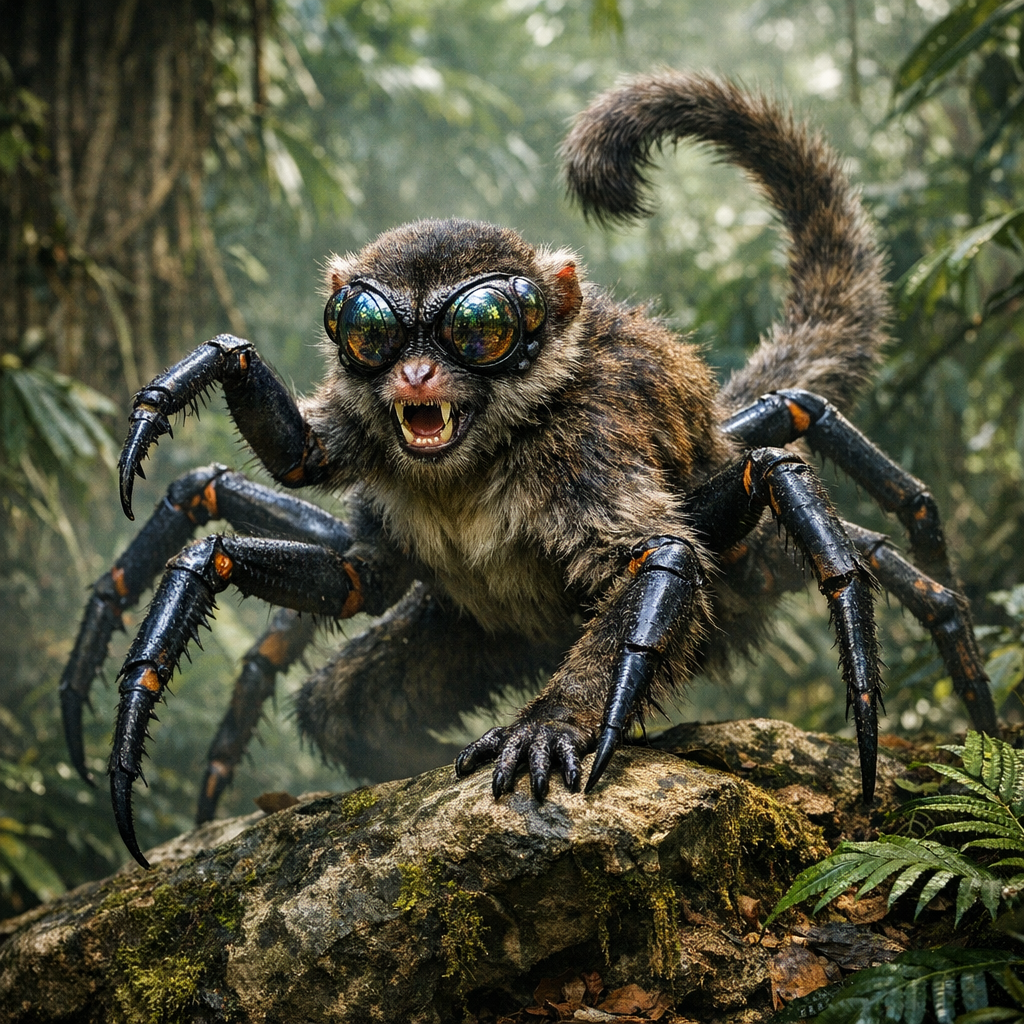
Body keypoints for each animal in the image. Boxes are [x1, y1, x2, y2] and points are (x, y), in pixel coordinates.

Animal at [60, 71, 996, 866]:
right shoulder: (362, 495)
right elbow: (223, 519)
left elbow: (662, 555)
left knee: (816, 476)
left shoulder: (587, 446)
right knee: (340, 703)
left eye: (482, 323)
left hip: (742, 557)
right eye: (366, 327)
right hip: (465, 632)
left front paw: (560, 728)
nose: (415, 376)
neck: (471, 468)